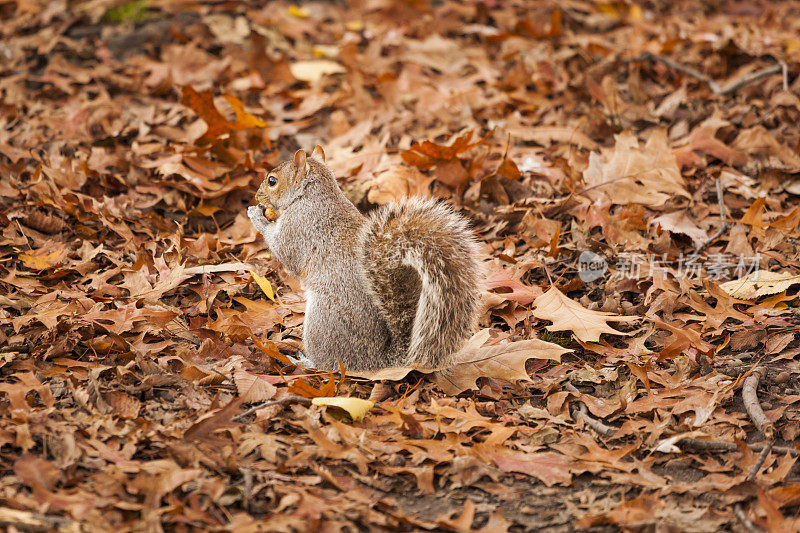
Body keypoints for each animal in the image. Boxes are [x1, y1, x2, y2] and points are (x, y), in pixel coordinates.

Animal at [245, 144, 482, 370]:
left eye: (272, 181)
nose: (256, 196)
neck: (311, 195)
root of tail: (374, 360)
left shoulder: (299, 227)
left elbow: (283, 250)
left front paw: (256, 215)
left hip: (322, 321)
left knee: (329, 364)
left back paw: (304, 362)